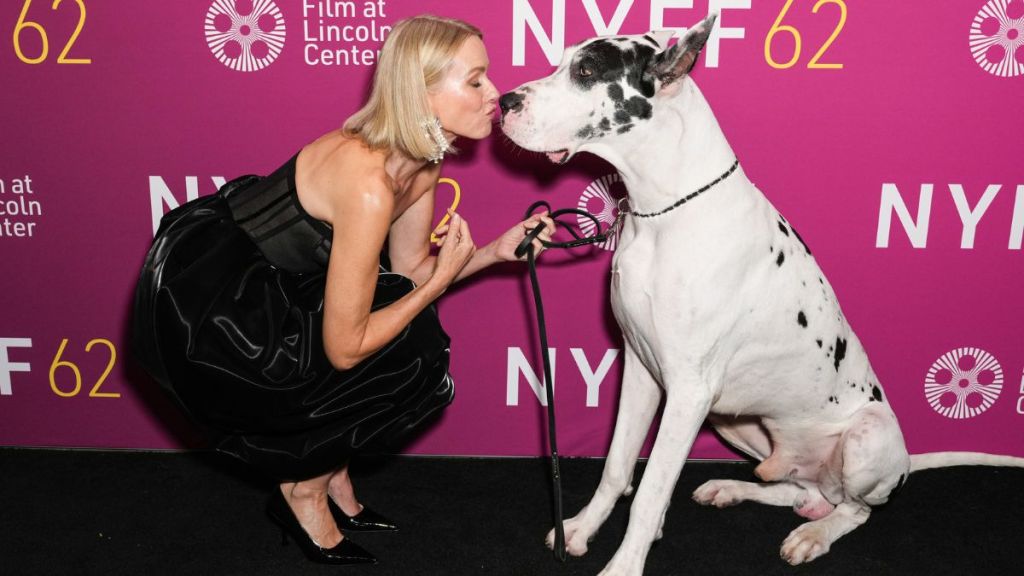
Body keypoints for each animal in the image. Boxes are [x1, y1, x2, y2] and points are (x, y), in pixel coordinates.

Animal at [497, 13, 1024, 573]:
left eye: (587, 70)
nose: (504, 101)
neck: (662, 211)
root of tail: (903, 461)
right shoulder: (641, 370)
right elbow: (618, 467)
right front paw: (580, 527)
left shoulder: (688, 391)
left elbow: (651, 492)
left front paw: (624, 564)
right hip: (735, 422)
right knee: (797, 490)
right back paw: (734, 488)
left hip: (866, 436)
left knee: (854, 509)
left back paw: (815, 534)